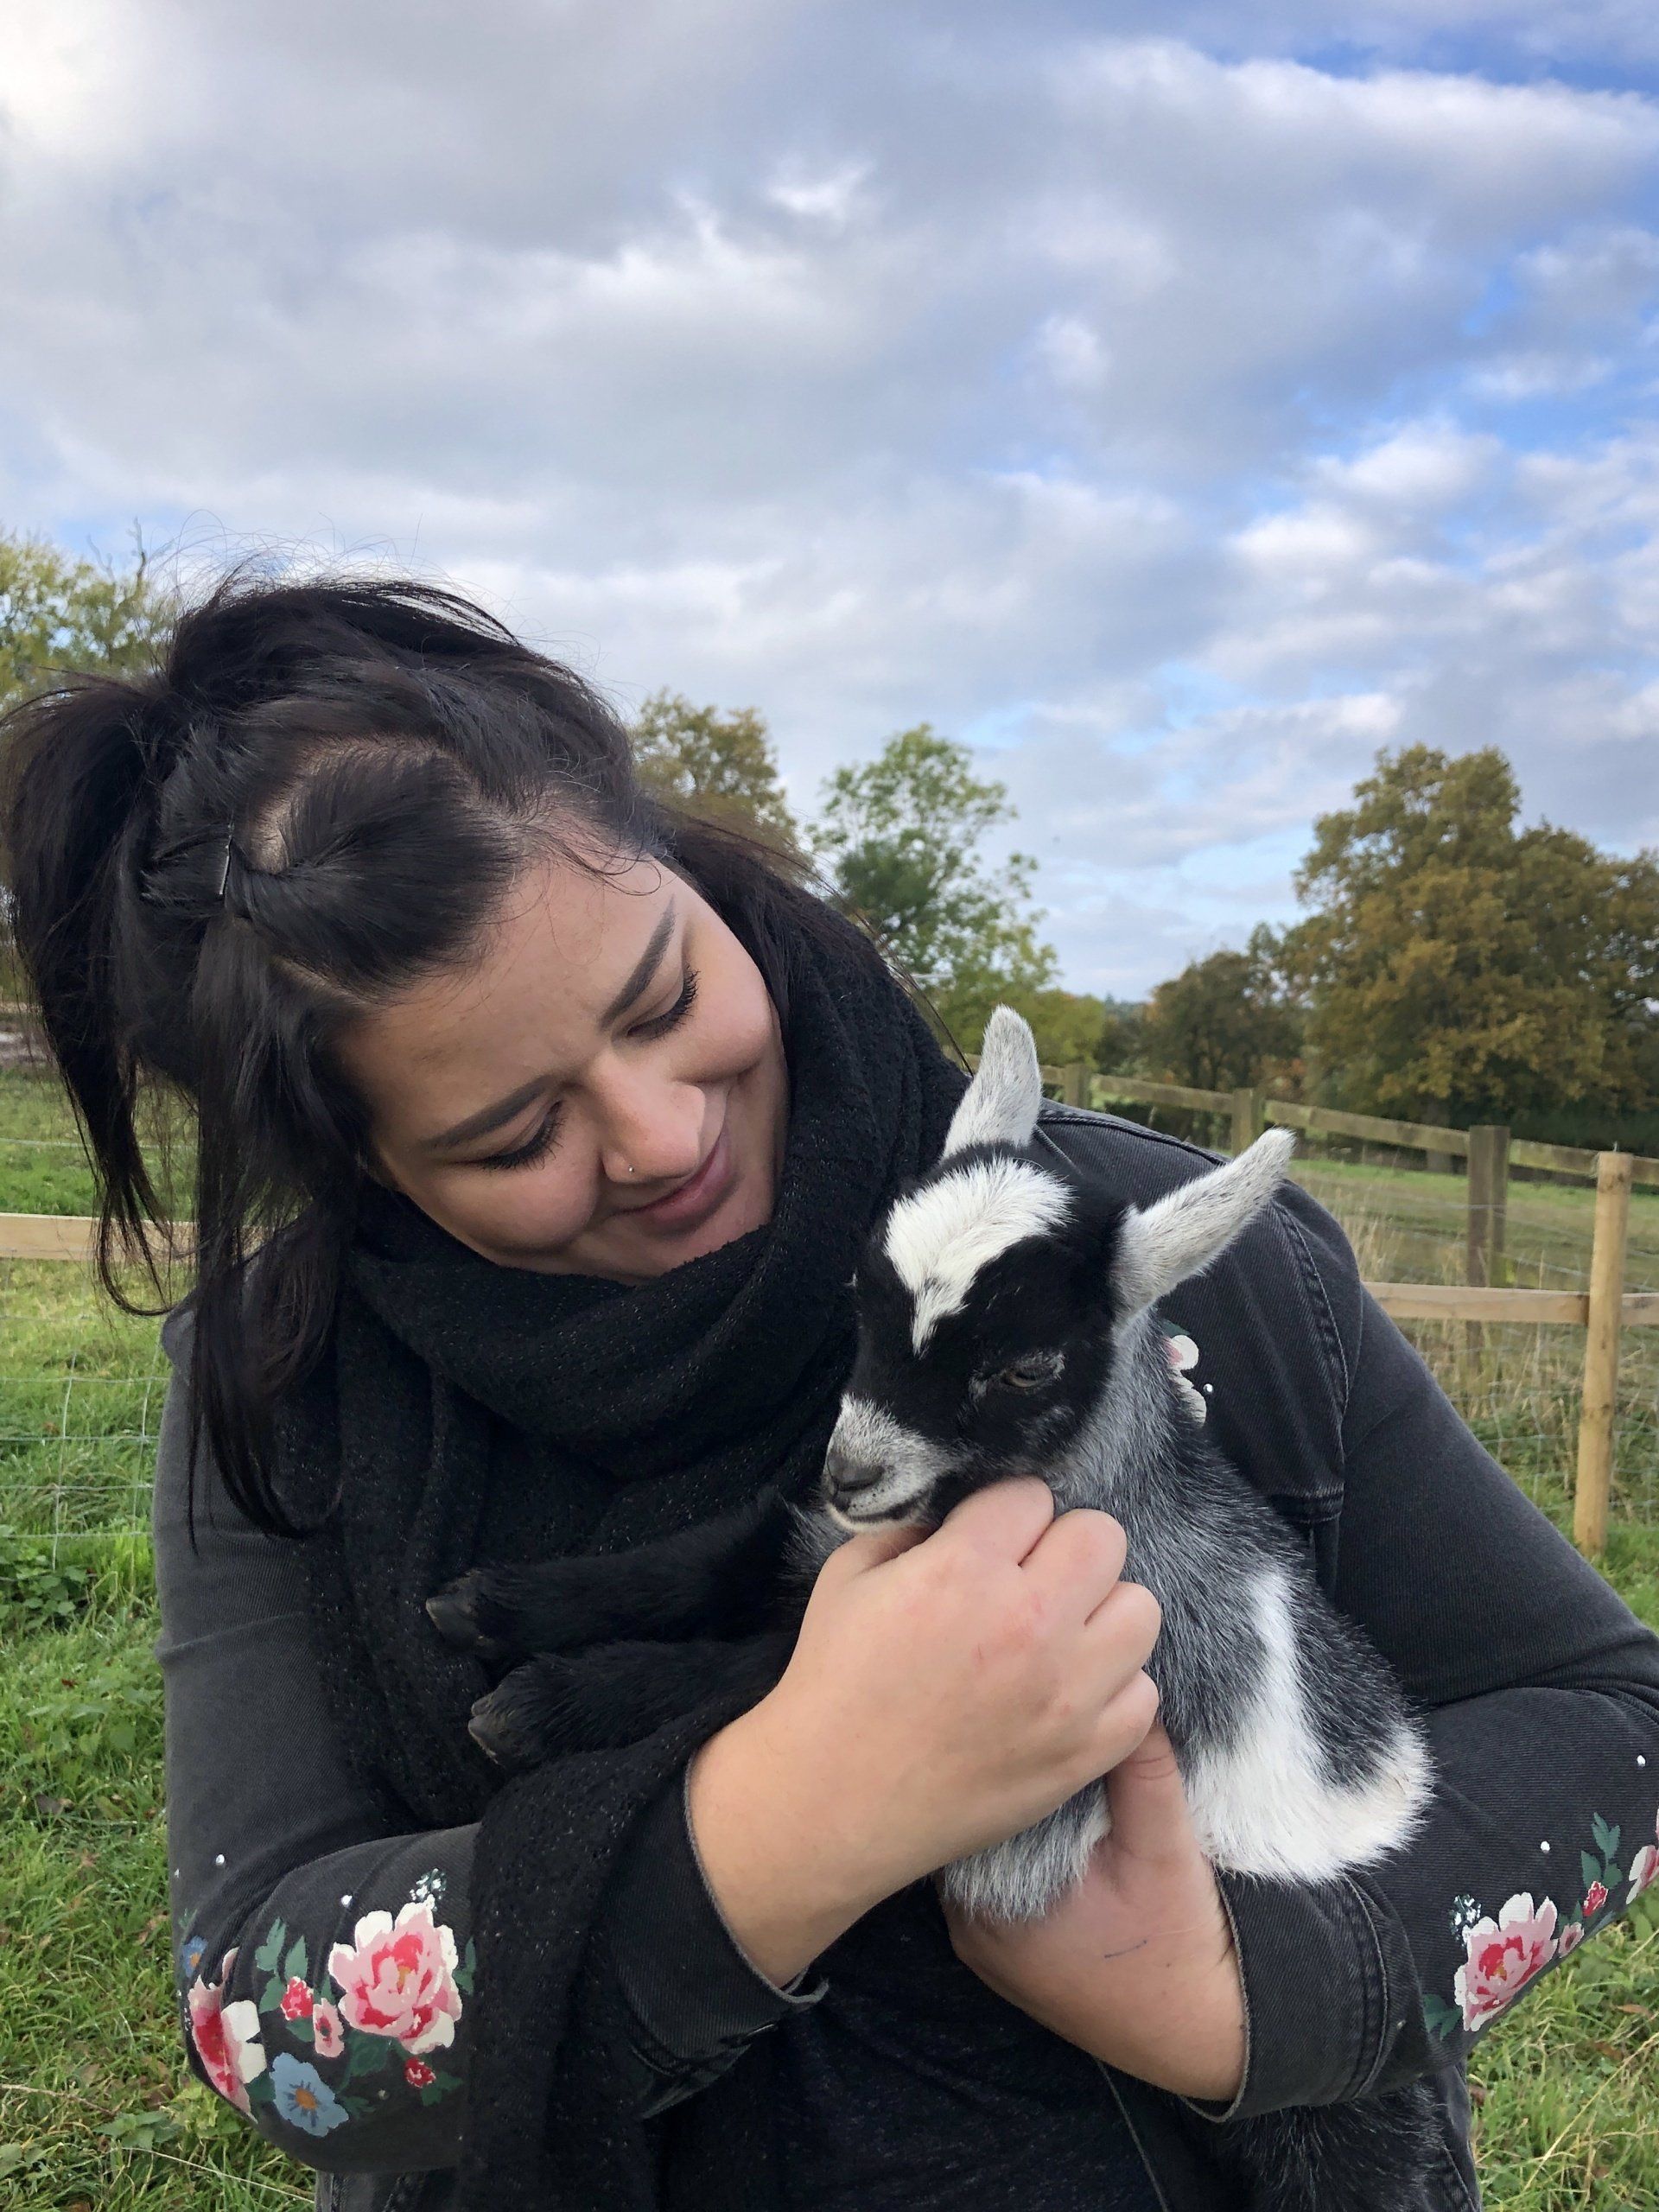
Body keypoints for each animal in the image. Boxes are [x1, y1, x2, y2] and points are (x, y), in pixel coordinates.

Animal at [428, 1008, 1439, 2211]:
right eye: (862, 1294)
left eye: (1029, 1365)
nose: (853, 1470)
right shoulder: (810, 1538)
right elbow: (697, 1563)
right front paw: (491, 1601)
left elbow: (749, 1671)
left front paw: (536, 1706)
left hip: (1342, 2123)